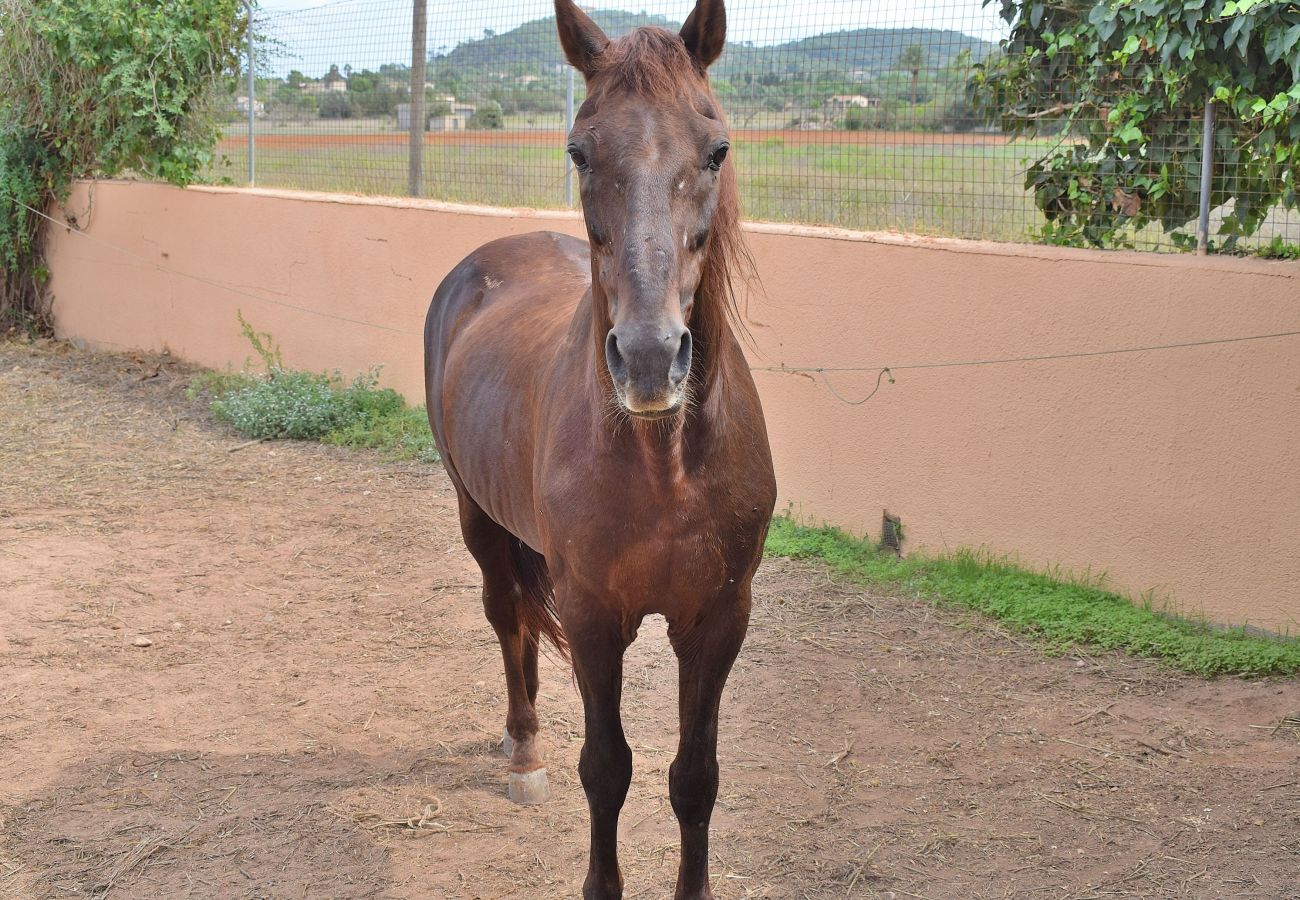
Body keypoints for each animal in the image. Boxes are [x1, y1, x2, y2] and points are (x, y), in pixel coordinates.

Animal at [423, 3, 769, 894]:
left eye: (716, 147)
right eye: (580, 150)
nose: (650, 357)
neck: (664, 464)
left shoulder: (718, 618)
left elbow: (695, 776)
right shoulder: (591, 616)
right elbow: (606, 769)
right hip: (477, 520)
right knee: (506, 618)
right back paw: (523, 750)